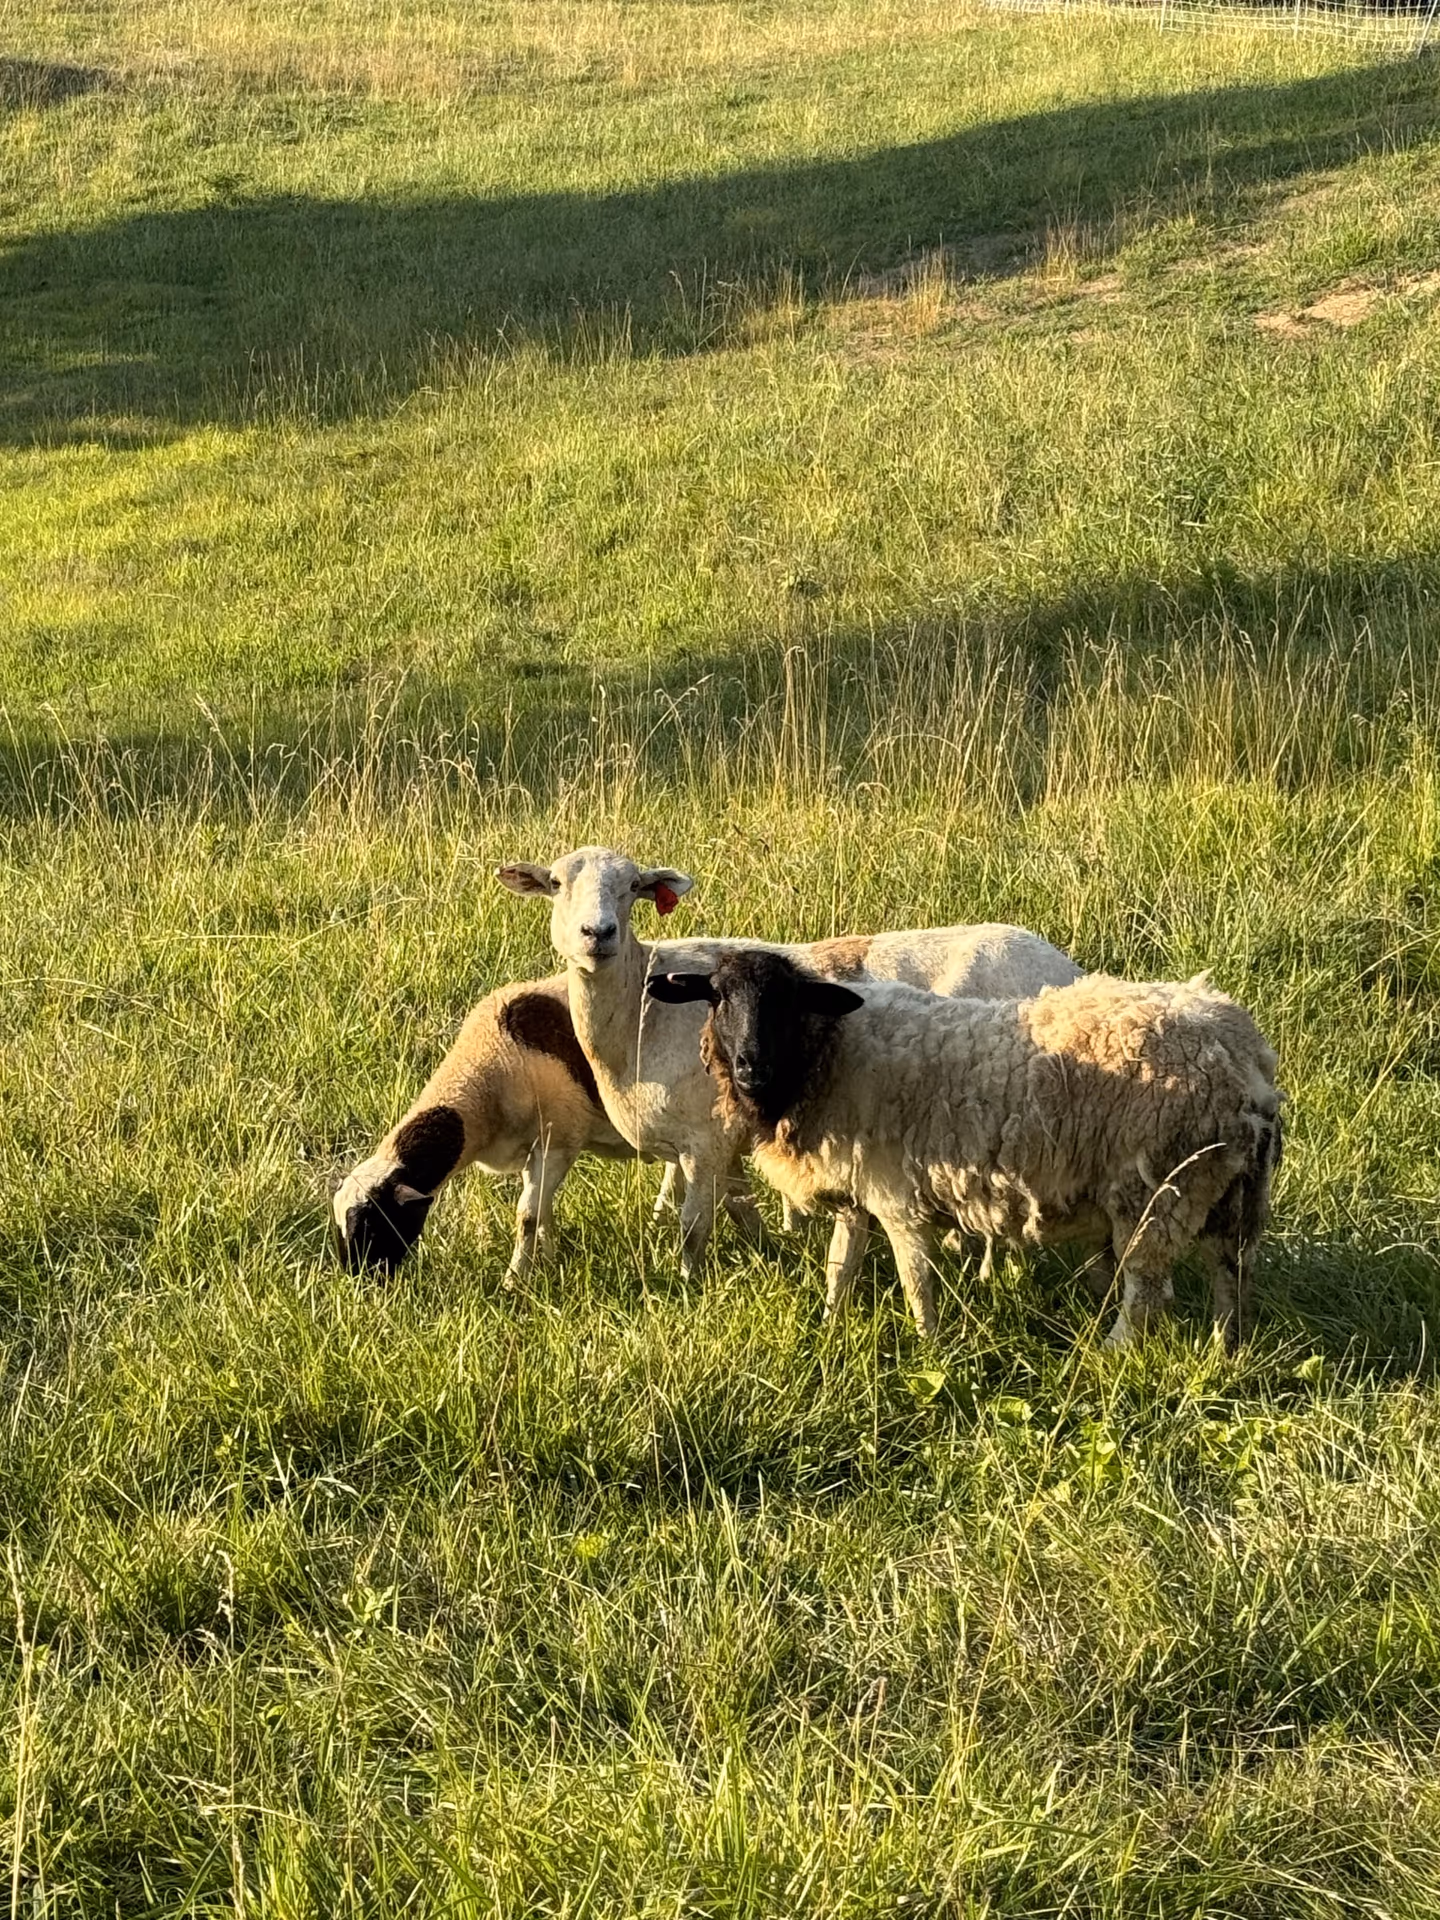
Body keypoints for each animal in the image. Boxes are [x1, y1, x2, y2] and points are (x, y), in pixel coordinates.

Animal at [496, 845, 1082, 1279]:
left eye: (633, 886)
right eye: (556, 884)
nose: (598, 934)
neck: (639, 1011)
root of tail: (1066, 969)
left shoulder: (706, 1140)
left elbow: (693, 1228)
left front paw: (687, 1288)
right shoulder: (724, 1143)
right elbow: (739, 1209)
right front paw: (776, 1256)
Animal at [647, 950, 1282, 1347]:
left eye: (787, 1001)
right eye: (717, 997)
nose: (750, 1066)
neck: (828, 1056)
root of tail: (1244, 1052)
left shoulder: (896, 1195)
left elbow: (914, 1278)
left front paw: (928, 1344)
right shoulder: (859, 1194)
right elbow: (840, 1267)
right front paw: (829, 1327)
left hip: (1159, 1192)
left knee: (1147, 1291)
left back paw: (1111, 1351)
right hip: (1227, 1189)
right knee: (1230, 1272)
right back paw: (1225, 1347)